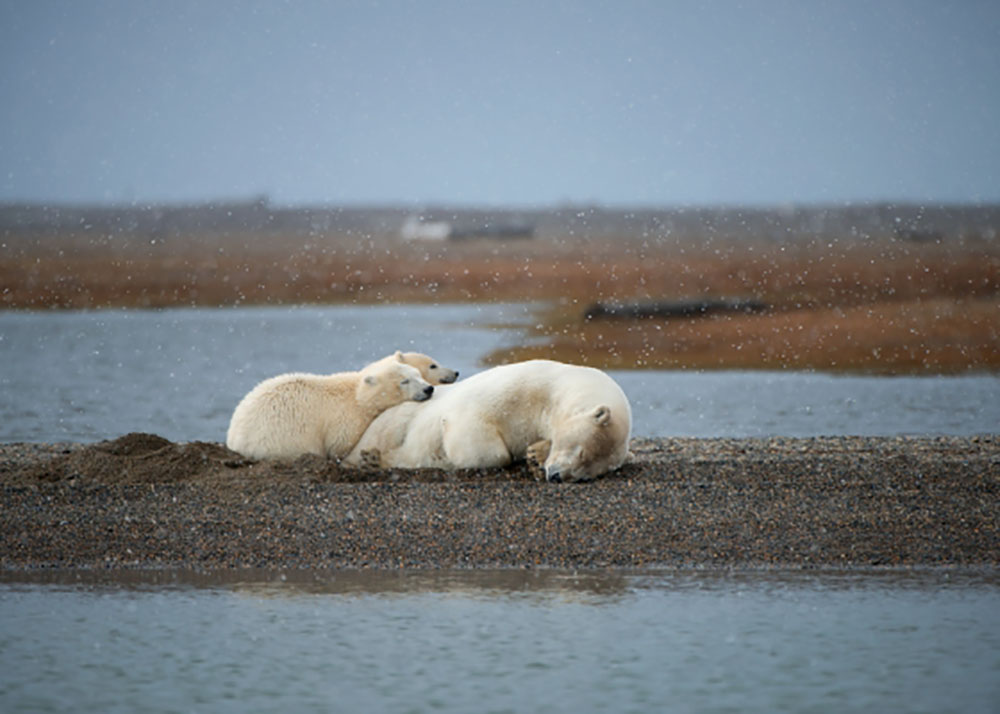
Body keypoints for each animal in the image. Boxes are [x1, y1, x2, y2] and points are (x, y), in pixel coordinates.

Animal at [227, 354, 434, 458]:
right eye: (404, 381)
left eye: (418, 375)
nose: (428, 389)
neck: (357, 395)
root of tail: (235, 441)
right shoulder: (344, 417)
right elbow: (339, 443)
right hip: (281, 439)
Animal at [346, 358, 632, 482]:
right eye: (580, 451)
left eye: (589, 473)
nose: (557, 476)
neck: (552, 392)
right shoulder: (518, 389)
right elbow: (483, 440)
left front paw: (535, 455)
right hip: (395, 418)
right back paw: (374, 458)